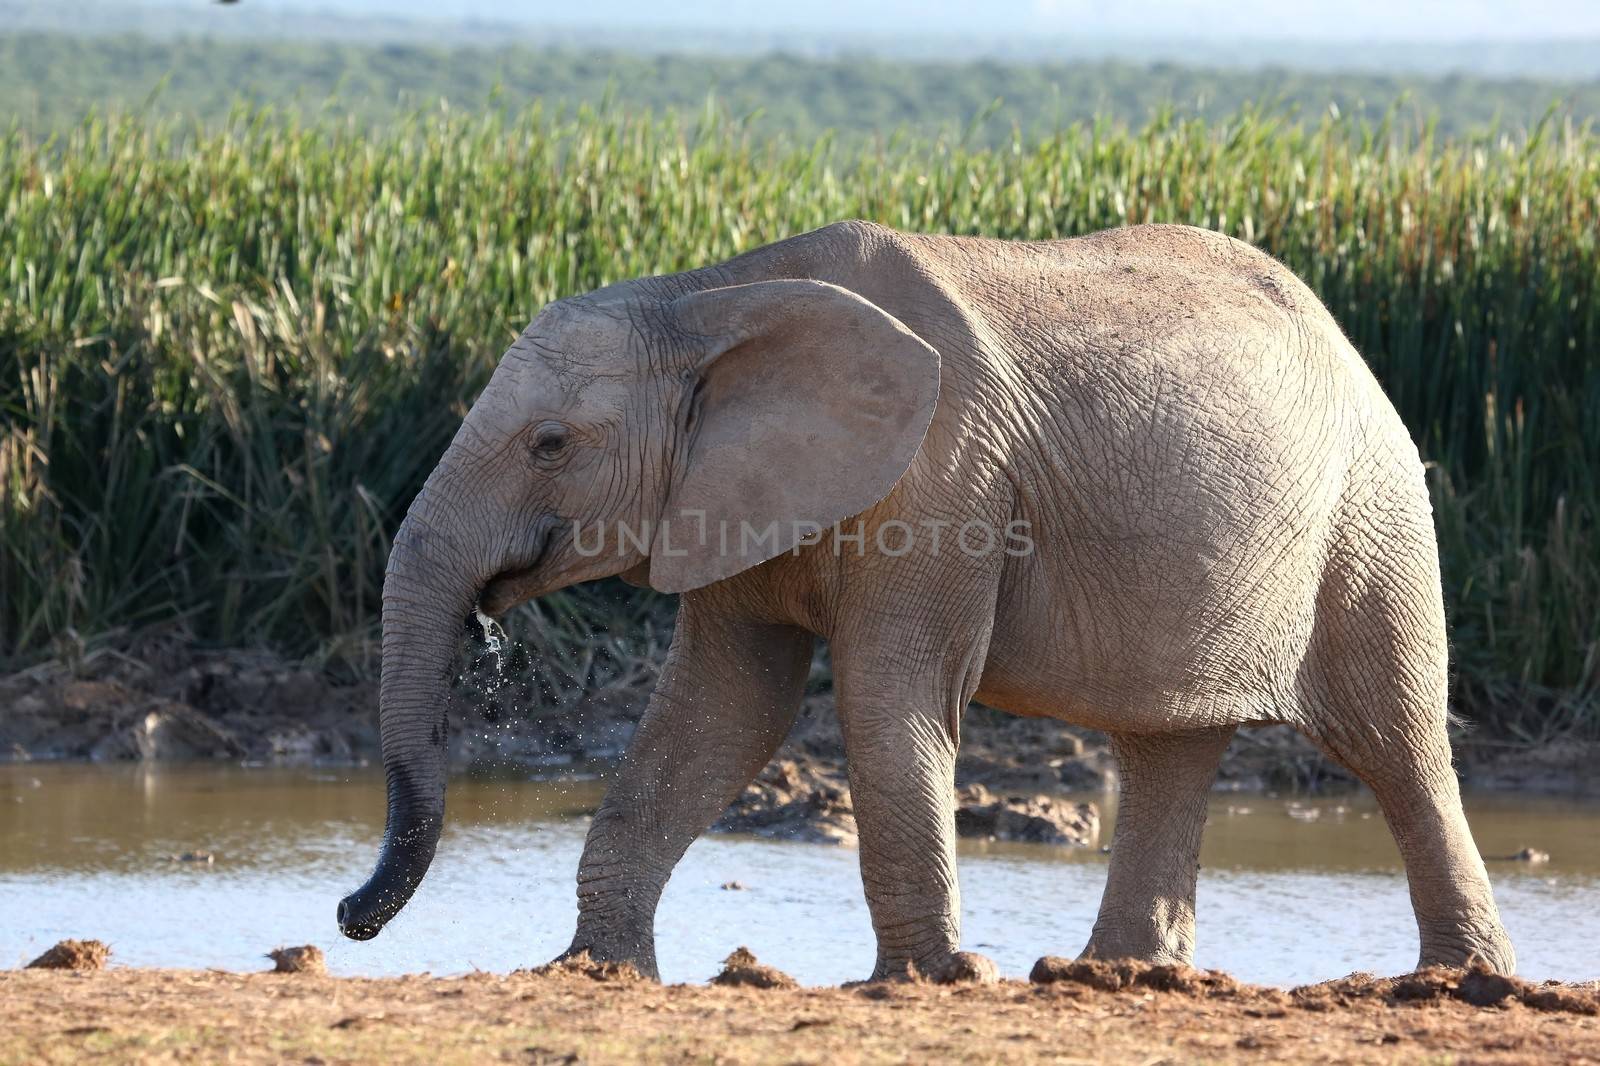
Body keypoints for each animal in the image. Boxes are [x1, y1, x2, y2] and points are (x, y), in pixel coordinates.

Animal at [334, 217, 1510, 979]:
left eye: (549, 444)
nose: (350, 916)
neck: (710, 297)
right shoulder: (735, 493)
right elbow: (722, 709)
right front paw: (590, 972)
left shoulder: (946, 476)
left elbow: (884, 694)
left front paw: (932, 978)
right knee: (1167, 742)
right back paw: (1115, 977)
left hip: (1372, 512)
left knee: (1395, 741)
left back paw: (1463, 985)